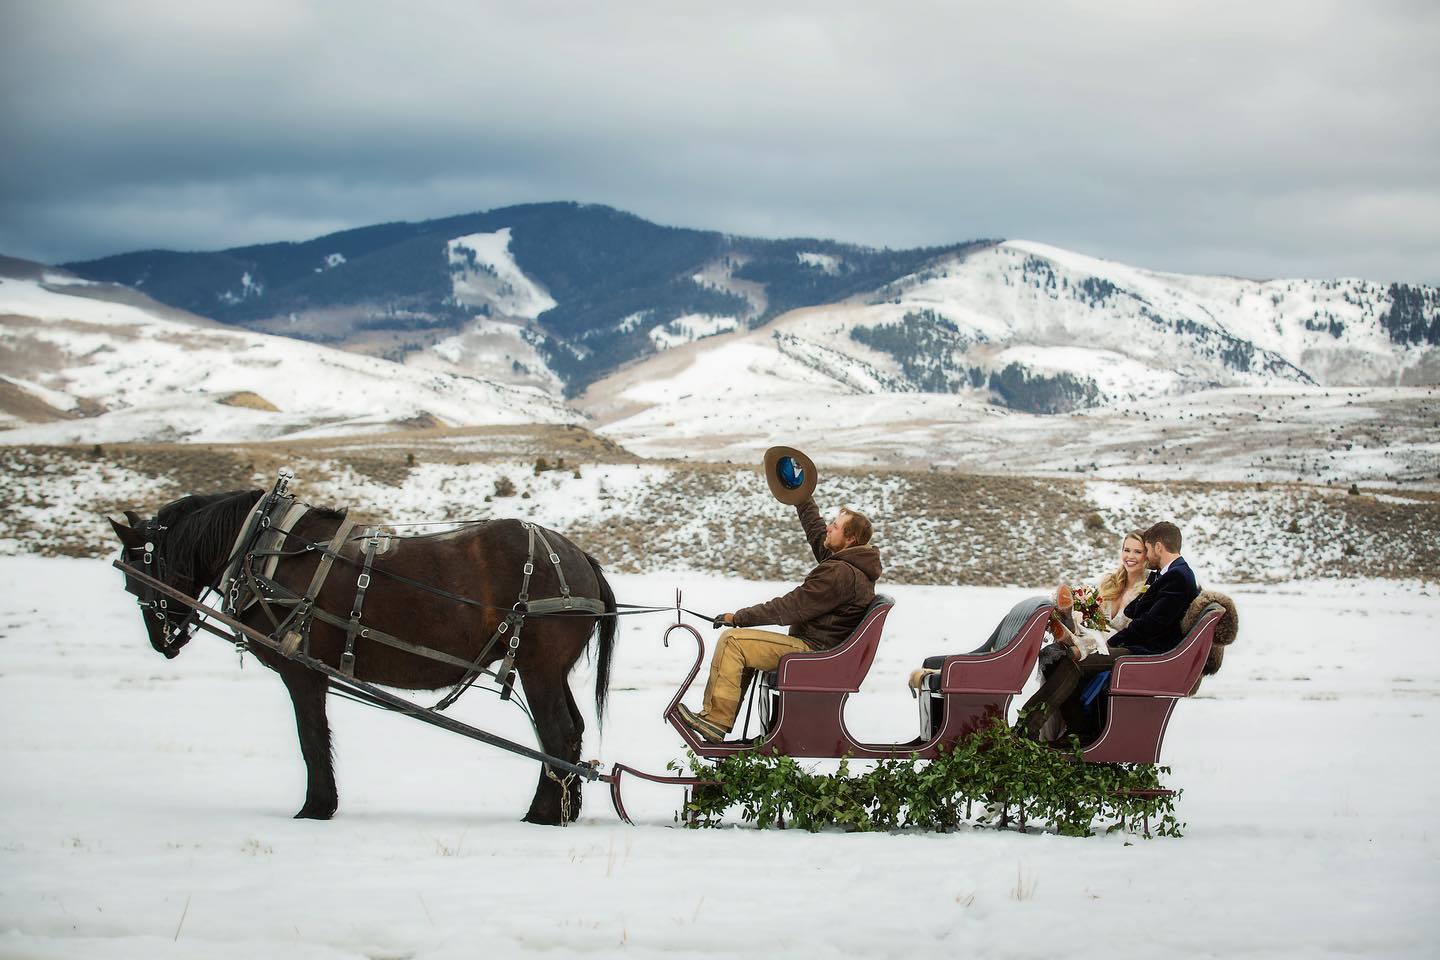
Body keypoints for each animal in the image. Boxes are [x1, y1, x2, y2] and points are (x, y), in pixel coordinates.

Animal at [105, 492, 613, 823]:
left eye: (136, 574)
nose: (163, 641)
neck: (265, 548)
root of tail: (581, 559)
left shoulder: (301, 669)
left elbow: (311, 737)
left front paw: (315, 808)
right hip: (548, 671)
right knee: (571, 733)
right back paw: (565, 809)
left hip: (537, 669)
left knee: (556, 733)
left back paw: (542, 815)